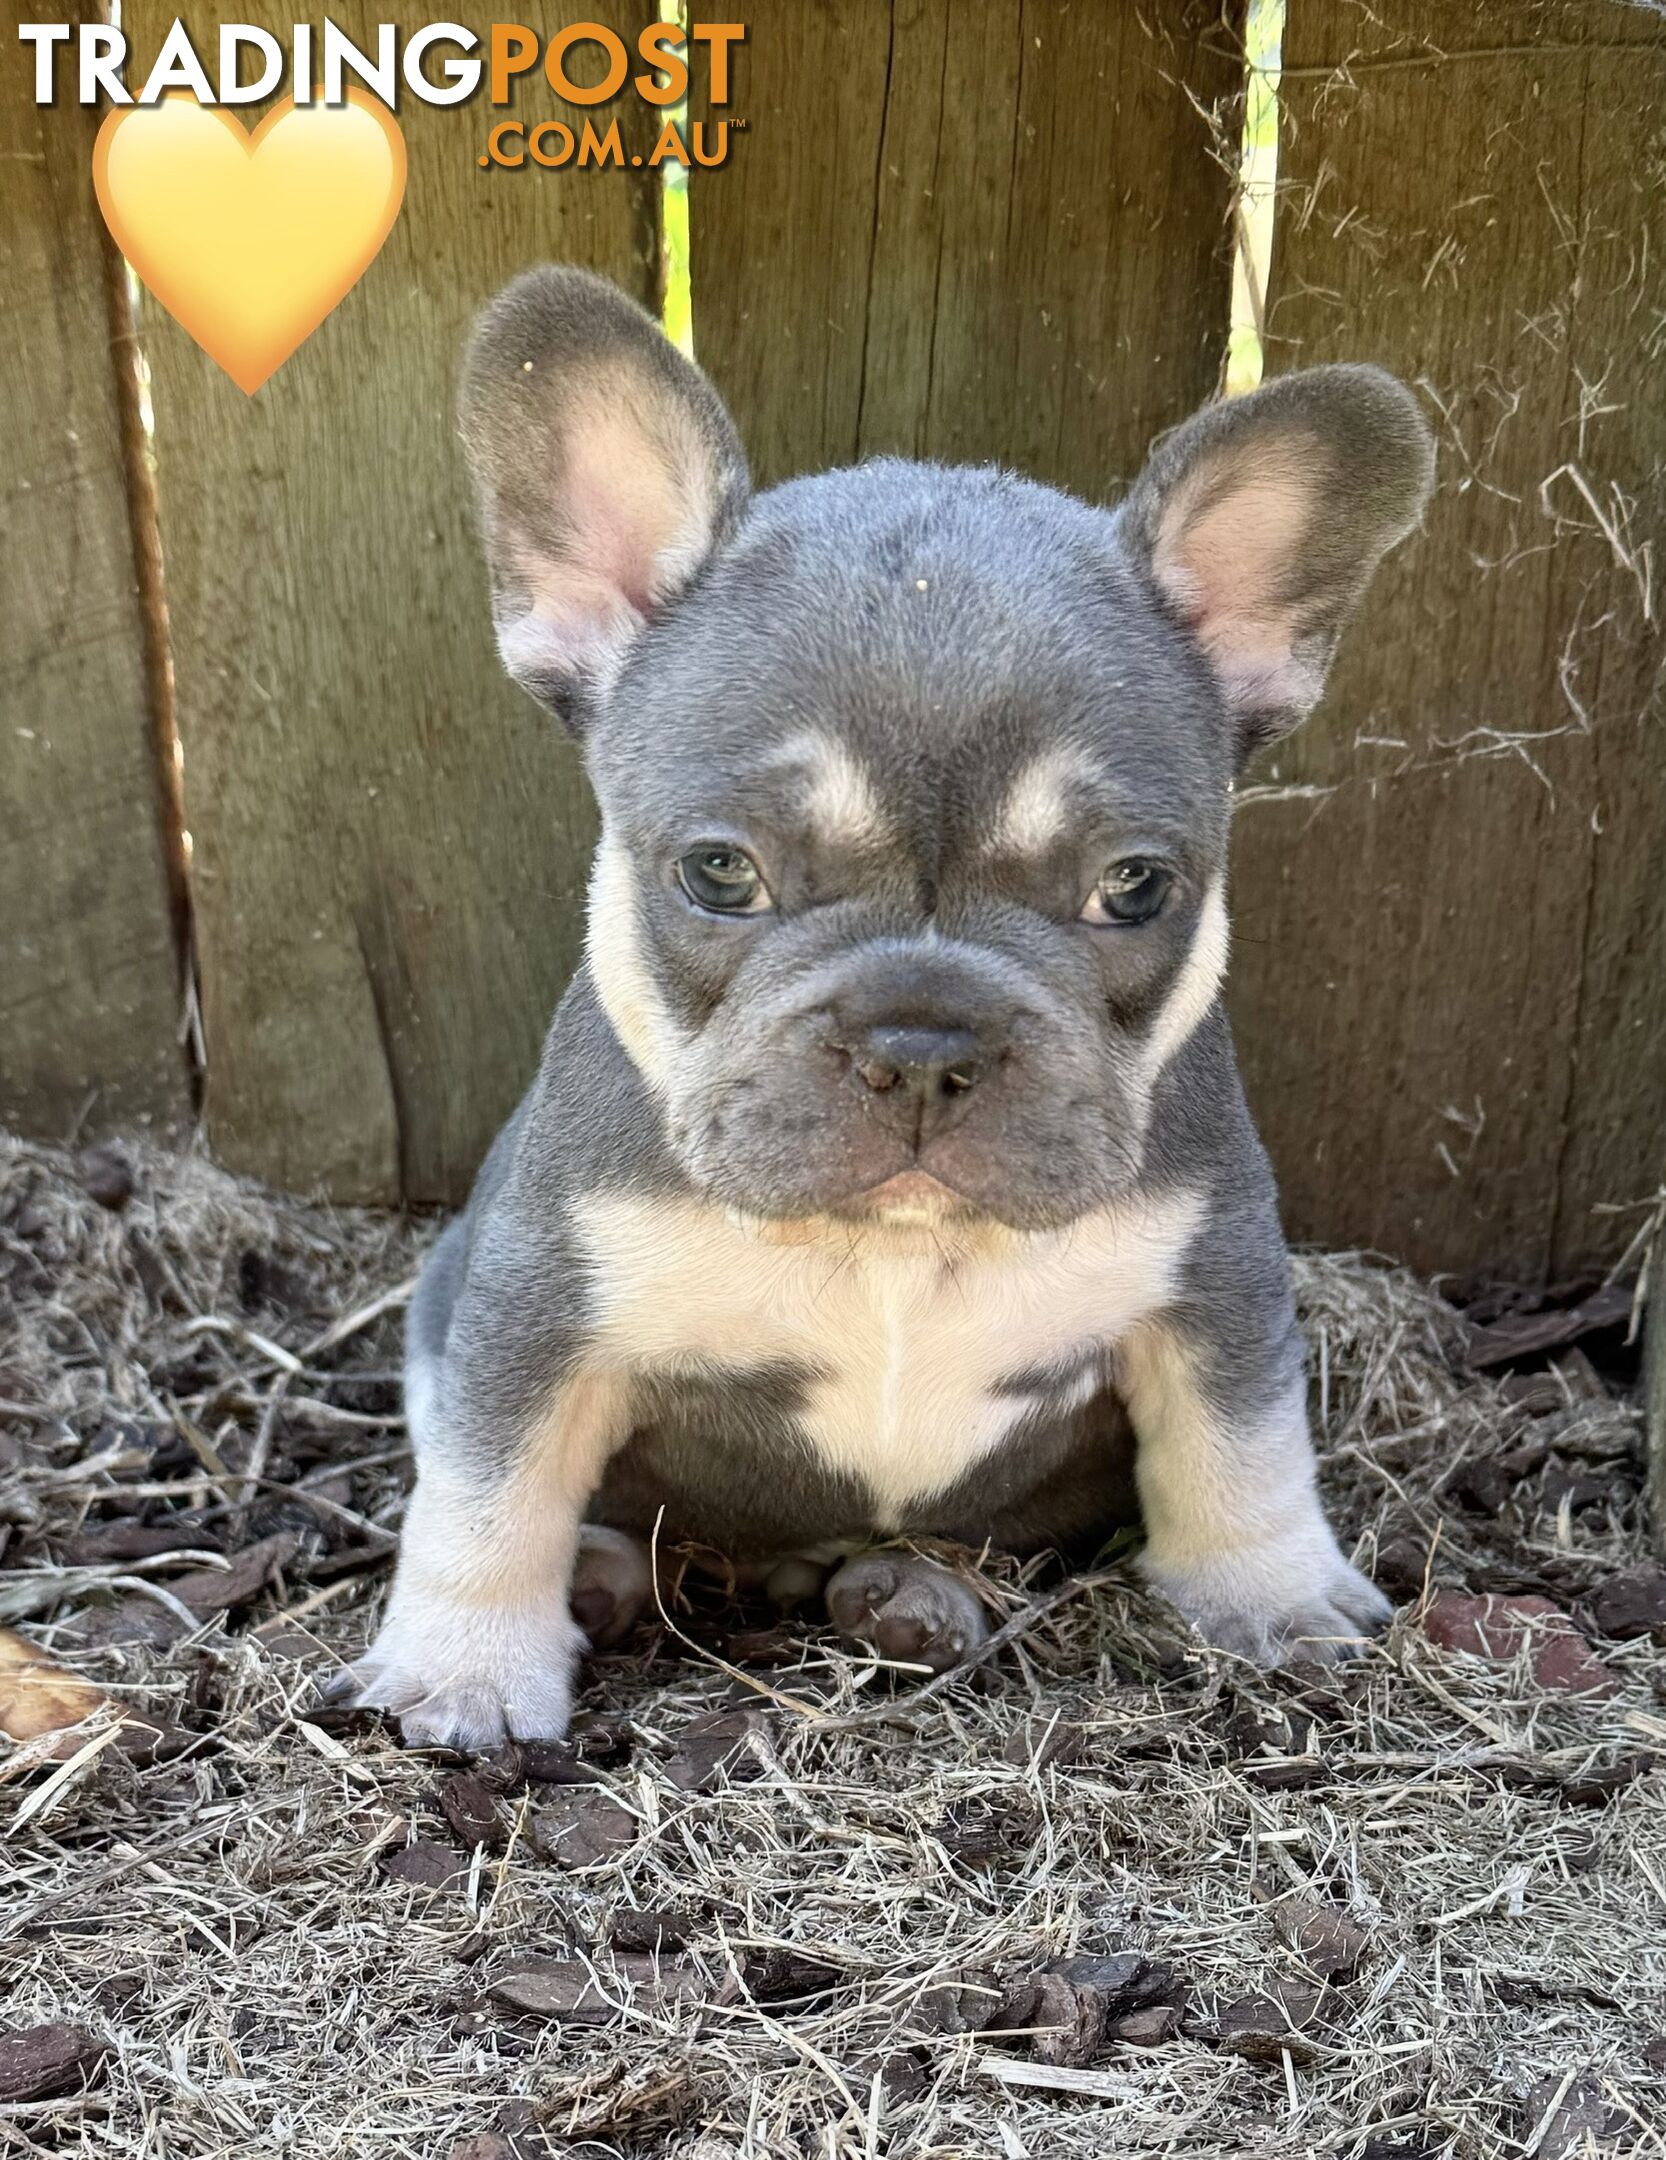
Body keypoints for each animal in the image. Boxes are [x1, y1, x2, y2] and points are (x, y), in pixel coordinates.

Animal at [339, 261, 1434, 1745]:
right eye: (719, 872)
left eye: (1134, 888)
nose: (921, 1042)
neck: (894, 1246)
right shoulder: (533, 1305)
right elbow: (491, 1483)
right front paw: (463, 1667)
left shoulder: (1213, 1283)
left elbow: (1242, 1444)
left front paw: (1276, 1594)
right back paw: (610, 1575)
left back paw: (916, 1593)